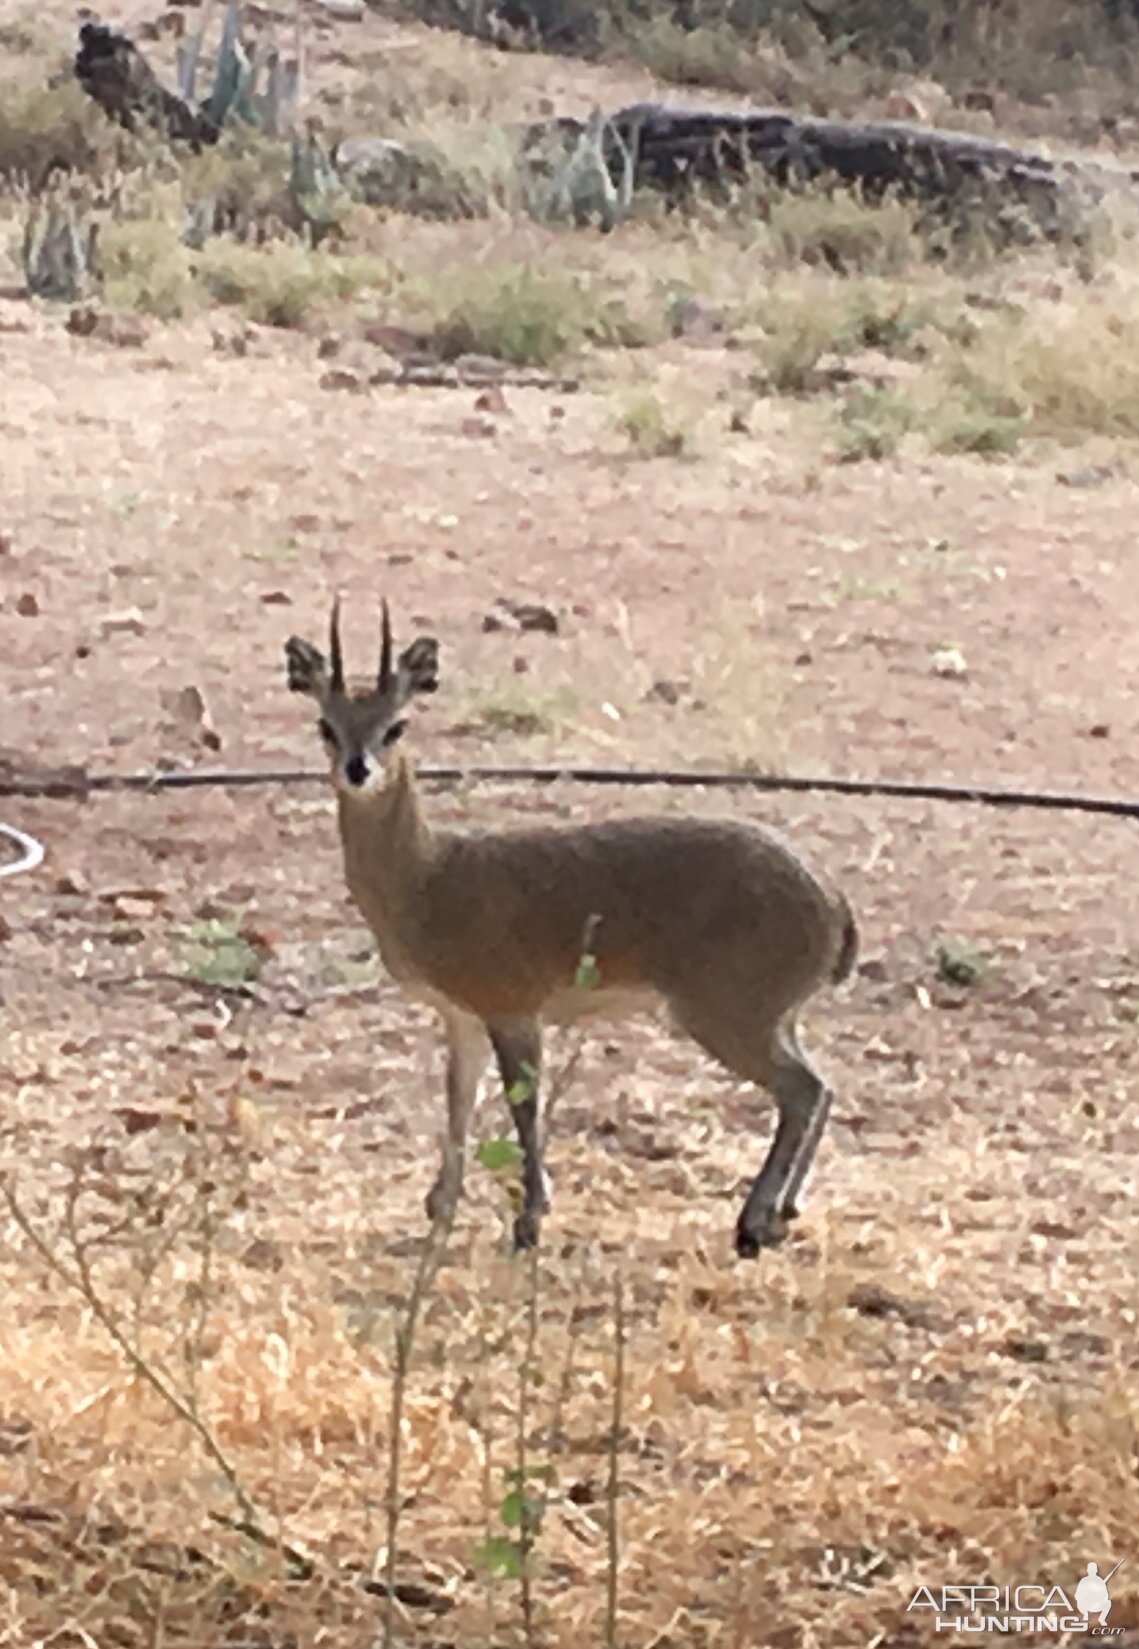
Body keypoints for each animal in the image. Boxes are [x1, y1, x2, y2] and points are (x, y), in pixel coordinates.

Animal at [285, 600, 857, 1253]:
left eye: (396, 725)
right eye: (326, 725)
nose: (358, 769)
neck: (428, 877)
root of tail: (834, 901)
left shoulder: (514, 1010)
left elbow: (523, 1108)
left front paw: (529, 1220)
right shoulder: (461, 1016)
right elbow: (458, 1102)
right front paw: (440, 1207)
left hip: (727, 1013)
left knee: (802, 1089)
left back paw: (753, 1222)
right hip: (773, 1016)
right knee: (822, 1085)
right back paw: (783, 1211)